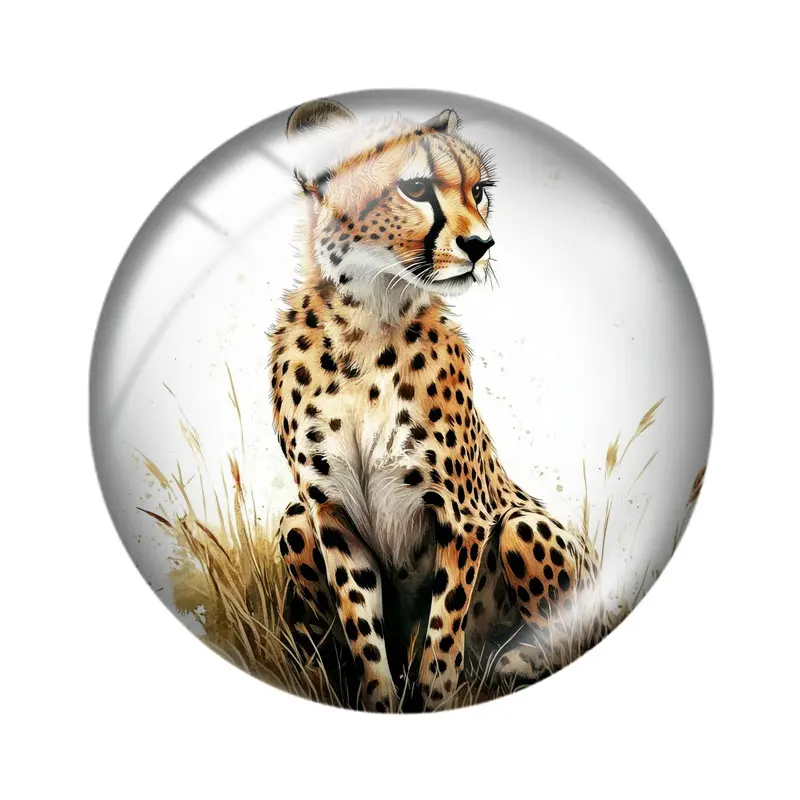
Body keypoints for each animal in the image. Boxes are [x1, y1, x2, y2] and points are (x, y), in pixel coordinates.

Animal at [269, 98, 603, 712]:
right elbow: (364, 633)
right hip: (294, 521)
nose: (482, 245)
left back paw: (512, 663)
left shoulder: (464, 517)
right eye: (417, 187)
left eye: (480, 190)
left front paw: (434, 700)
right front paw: (380, 701)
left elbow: (444, 634)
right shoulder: (330, 517)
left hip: (524, 526)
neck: (366, 328)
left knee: (566, 632)